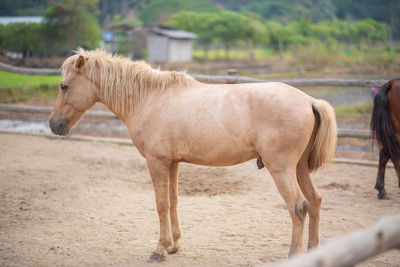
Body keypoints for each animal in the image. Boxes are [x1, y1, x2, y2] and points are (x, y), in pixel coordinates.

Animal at [50, 49, 338, 262]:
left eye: (64, 86)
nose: (54, 125)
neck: (149, 99)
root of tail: (310, 101)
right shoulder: (173, 163)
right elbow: (174, 201)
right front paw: (174, 245)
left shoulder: (156, 163)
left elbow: (161, 204)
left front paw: (159, 249)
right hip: (299, 168)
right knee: (315, 201)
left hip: (281, 168)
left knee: (298, 206)